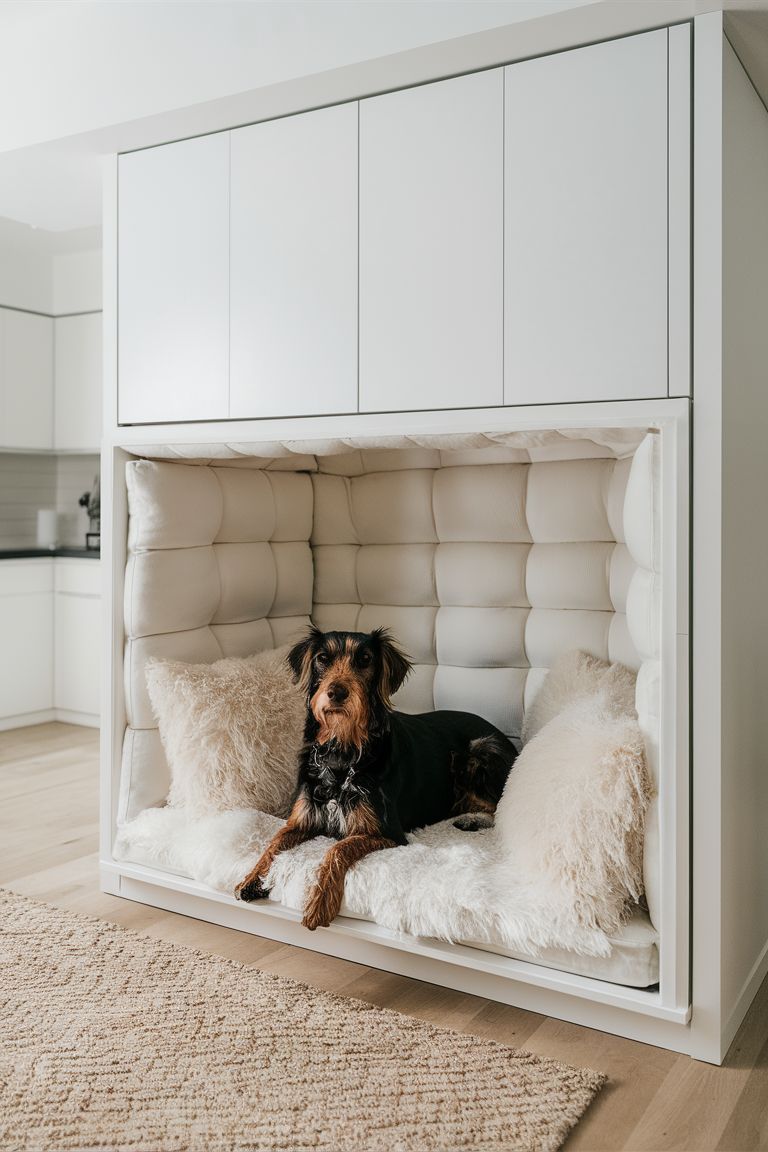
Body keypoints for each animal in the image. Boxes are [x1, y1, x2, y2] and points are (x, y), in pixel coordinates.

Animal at [231, 626, 513, 930]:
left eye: (365, 659)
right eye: (322, 658)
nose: (336, 692)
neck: (342, 751)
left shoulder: (386, 831)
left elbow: (338, 849)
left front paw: (319, 902)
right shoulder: (301, 819)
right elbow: (273, 842)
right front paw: (251, 879)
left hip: (481, 748)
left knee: (499, 806)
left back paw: (473, 818)